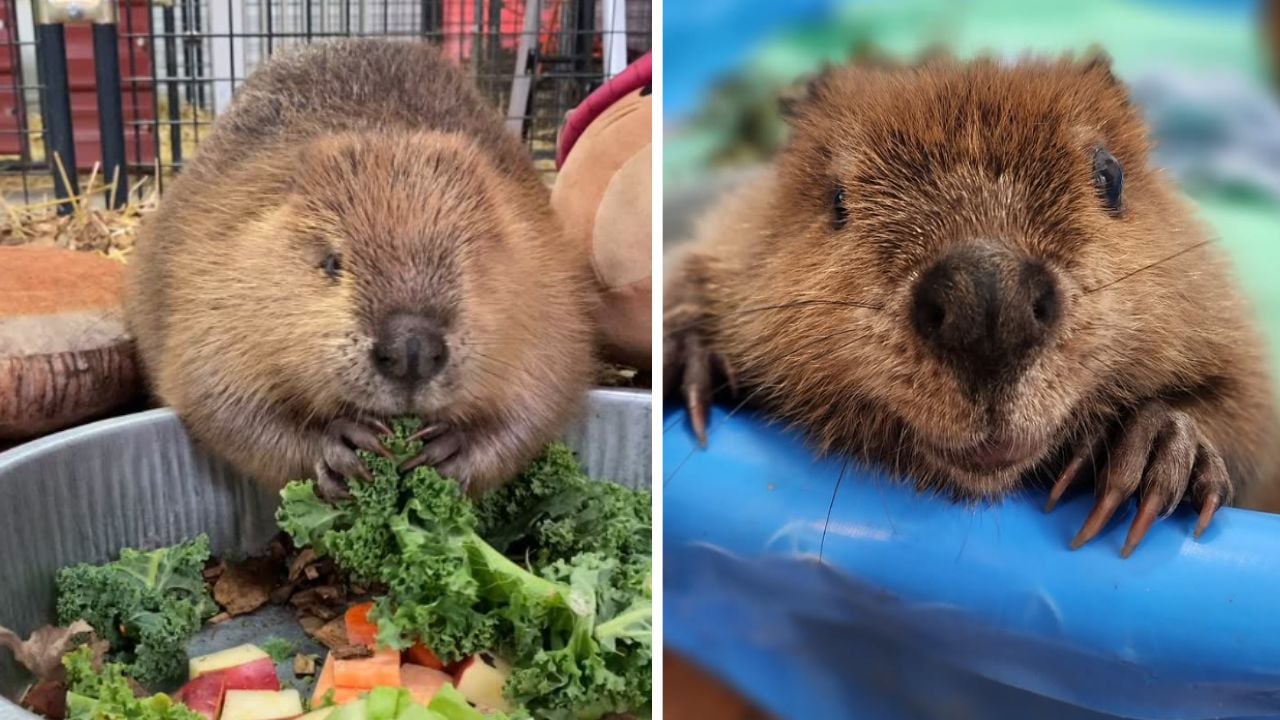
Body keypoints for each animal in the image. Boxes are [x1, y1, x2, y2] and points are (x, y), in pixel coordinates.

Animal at [124, 39, 593, 497]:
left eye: (468, 257)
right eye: (333, 261)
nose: (411, 350)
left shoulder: (547, 284)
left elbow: (542, 402)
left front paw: (448, 451)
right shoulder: (215, 273)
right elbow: (217, 399)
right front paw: (343, 443)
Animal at [665, 53, 1280, 556]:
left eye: (1111, 175)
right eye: (838, 200)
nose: (988, 302)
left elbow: (1251, 419)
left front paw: (1151, 444)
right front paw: (687, 361)